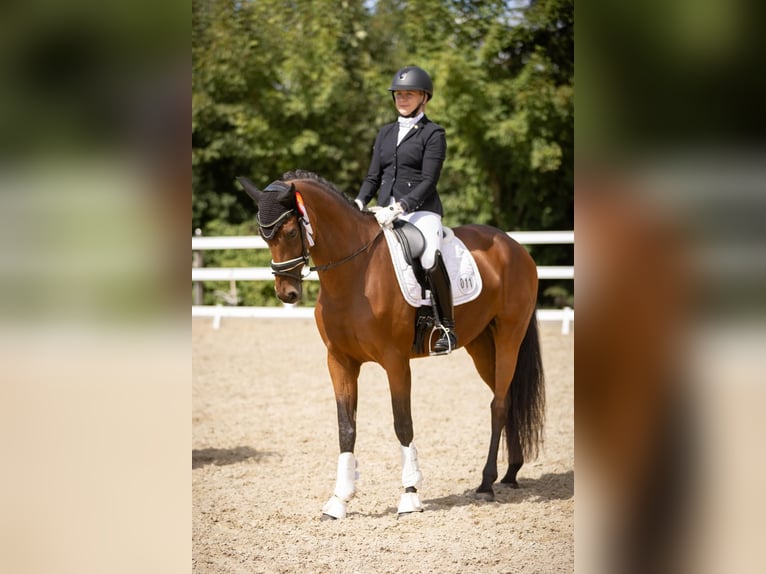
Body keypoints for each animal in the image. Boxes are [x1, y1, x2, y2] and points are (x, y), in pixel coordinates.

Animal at [237, 170, 545, 519]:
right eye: (263, 236)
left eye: (290, 231)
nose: (286, 293)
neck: (356, 273)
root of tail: (514, 246)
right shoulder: (339, 362)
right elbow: (346, 428)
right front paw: (339, 500)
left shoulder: (395, 361)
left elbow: (402, 424)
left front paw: (409, 496)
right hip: (481, 345)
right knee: (505, 398)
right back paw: (511, 473)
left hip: (509, 336)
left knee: (499, 405)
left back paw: (486, 483)